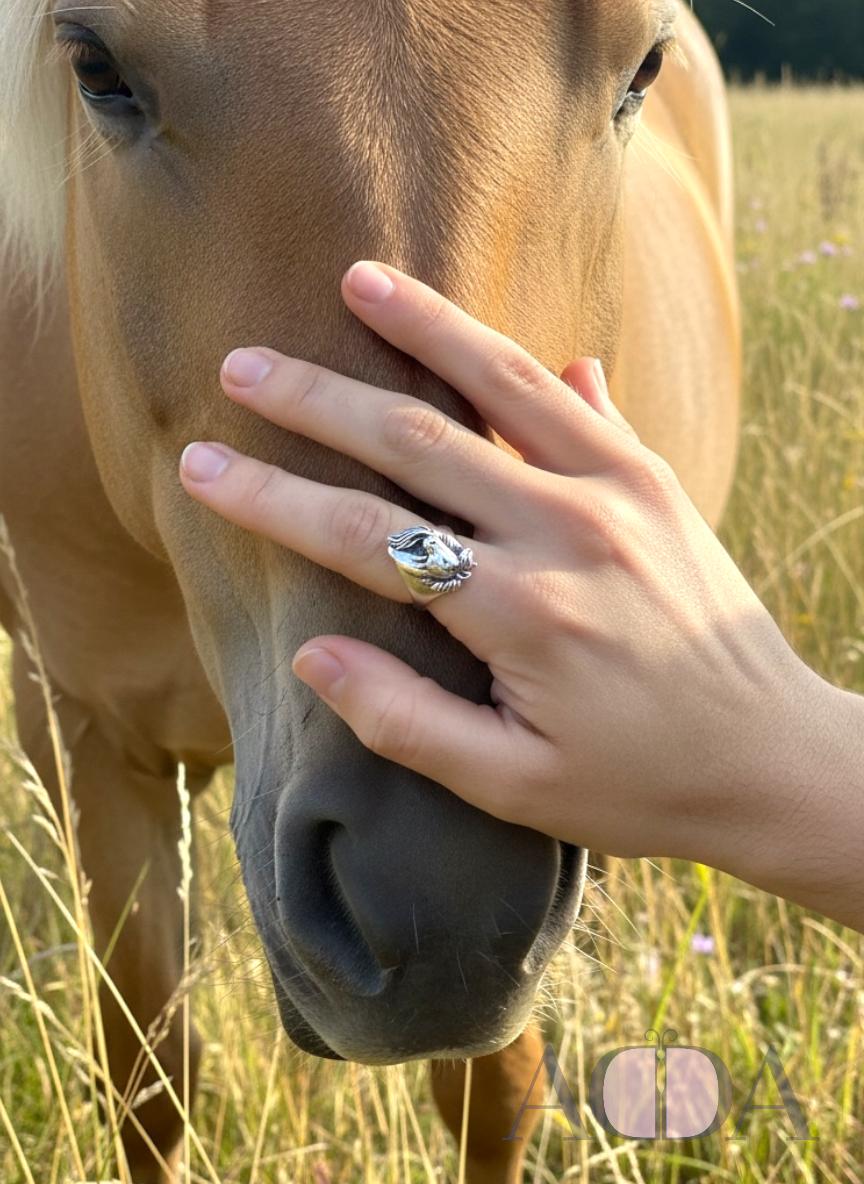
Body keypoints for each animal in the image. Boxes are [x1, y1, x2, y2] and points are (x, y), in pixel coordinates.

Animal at [0, 0, 740, 1180]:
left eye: (645, 66)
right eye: (95, 67)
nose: (436, 887)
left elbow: (494, 1096)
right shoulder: (85, 734)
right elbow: (147, 1084)